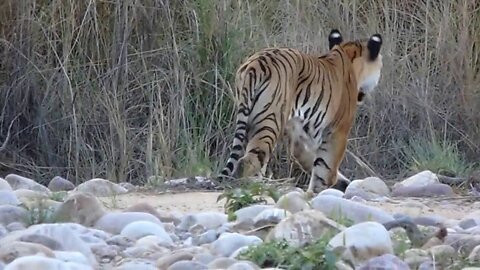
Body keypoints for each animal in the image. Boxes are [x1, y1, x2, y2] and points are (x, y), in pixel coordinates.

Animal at [218, 28, 382, 195]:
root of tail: (256, 63)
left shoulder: (300, 136)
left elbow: (313, 161)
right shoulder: (338, 131)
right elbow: (325, 168)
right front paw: (322, 189)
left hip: (247, 119)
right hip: (270, 121)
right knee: (249, 161)